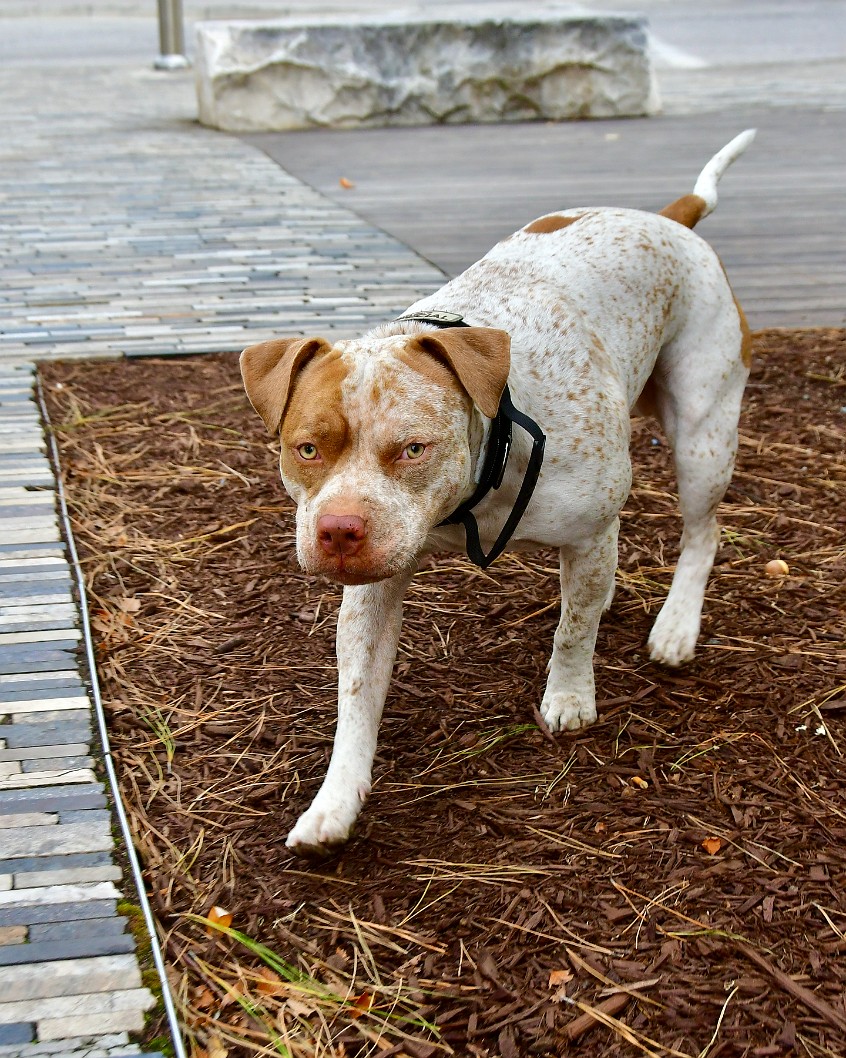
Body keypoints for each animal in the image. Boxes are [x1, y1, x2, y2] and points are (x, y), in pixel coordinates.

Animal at [241, 128, 757, 854]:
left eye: (413, 448)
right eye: (306, 448)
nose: (339, 531)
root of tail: (669, 218)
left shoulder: (589, 529)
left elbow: (573, 630)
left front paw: (568, 697)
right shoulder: (373, 589)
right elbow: (357, 693)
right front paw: (335, 801)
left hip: (703, 434)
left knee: (702, 531)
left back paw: (677, 625)